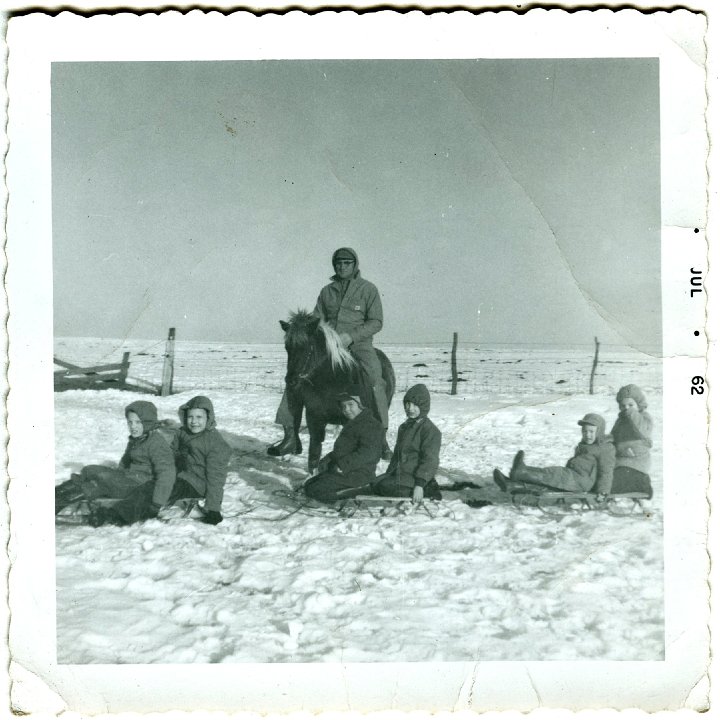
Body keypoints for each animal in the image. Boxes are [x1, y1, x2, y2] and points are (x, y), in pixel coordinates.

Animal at [280, 310, 394, 472]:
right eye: (287, 347)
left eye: (308, 346)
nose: (291, 381)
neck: (331, 382)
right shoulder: (314, 418)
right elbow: (314, 453)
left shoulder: (350, 420)